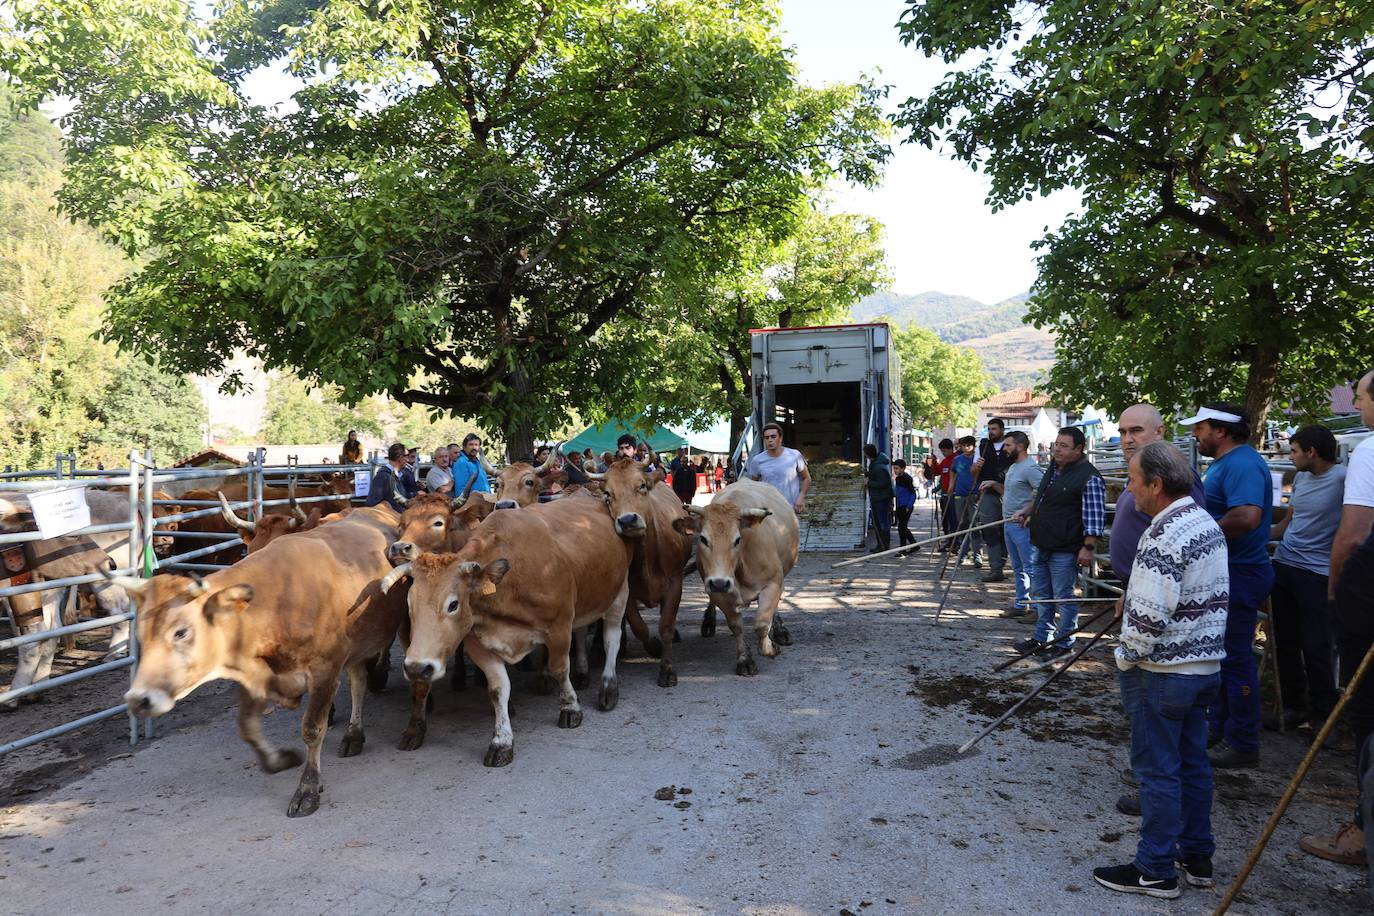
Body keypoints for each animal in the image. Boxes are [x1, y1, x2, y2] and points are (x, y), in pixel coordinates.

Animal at [113, 505, 403, 818]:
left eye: (181, 631)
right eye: (140, 634)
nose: (138, 699)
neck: (281, 602)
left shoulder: (326, 671)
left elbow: (313, 729)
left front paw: (308, 788)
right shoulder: (253, 674)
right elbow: (248, 728)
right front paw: (280, 760)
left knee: (361, 682)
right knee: (358, 681)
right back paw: (354, 735)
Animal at [384, 494, 634, 769]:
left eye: (453, 604)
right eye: (409, 604)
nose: (418, 668)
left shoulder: (558, 627)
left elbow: (560, 669)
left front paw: (570, 708)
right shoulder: (477, 642)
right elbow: (498, 689)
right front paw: (502, 741)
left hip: (619, 593)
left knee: (612, 639)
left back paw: (608, 687)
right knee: (581, 634)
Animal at [585, 458, 692, 686]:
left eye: (641, 485)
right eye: (607, 493)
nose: (627, 521)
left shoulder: (675, 583)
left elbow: (666, 625)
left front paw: (667, 669)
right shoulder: (627, 591)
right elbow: (638, 626)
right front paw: (654, 646)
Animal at [670, 477, 802, 678]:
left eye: (738, 539)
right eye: (703, 539)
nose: (719, 583)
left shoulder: (773, 583)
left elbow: (762, 624)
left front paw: (770, 647)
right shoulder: (718, 592)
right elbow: (736, 625)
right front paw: (745, 659)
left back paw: (779, 630)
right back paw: (708, 622)